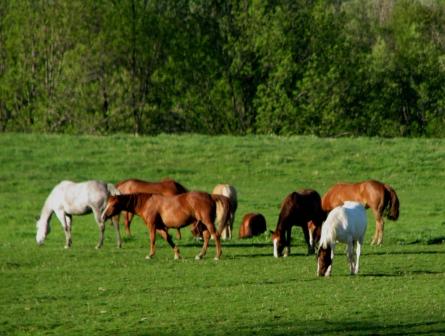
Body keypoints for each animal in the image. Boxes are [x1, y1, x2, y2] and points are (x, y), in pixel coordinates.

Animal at [100, 192, 231, 260]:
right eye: (107, 203)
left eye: (114, 204)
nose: (103, 216)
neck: (147, 203)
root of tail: (210, 196)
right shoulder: (159, 227)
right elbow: (167, 238)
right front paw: (177, 254)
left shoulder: (152, 225)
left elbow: (152, 239)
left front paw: (150, 254)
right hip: (203, 223)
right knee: (207, 236)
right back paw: (200, 255)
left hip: (207, 222)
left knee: (216, 235)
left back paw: (217, 255)